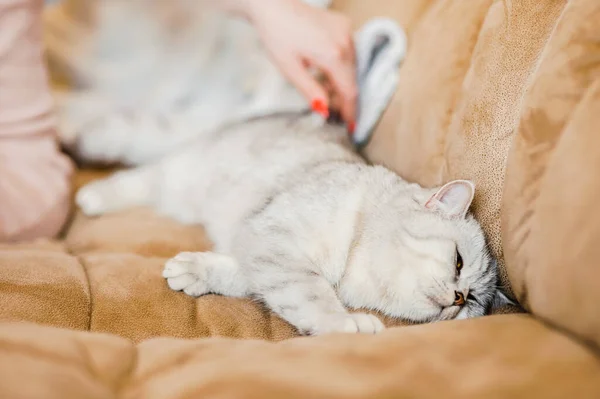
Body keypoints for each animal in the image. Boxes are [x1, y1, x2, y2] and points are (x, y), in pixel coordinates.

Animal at [76, 113, 506, 338]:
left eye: (473, 302)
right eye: (457, 263)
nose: (457, 298)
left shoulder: (262, 250)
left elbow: (246, 277)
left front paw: (193, 272)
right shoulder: (278, 241)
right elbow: (313, 296)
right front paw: (347, 322)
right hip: (182, 176)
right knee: (140, 179)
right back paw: (91, 198)